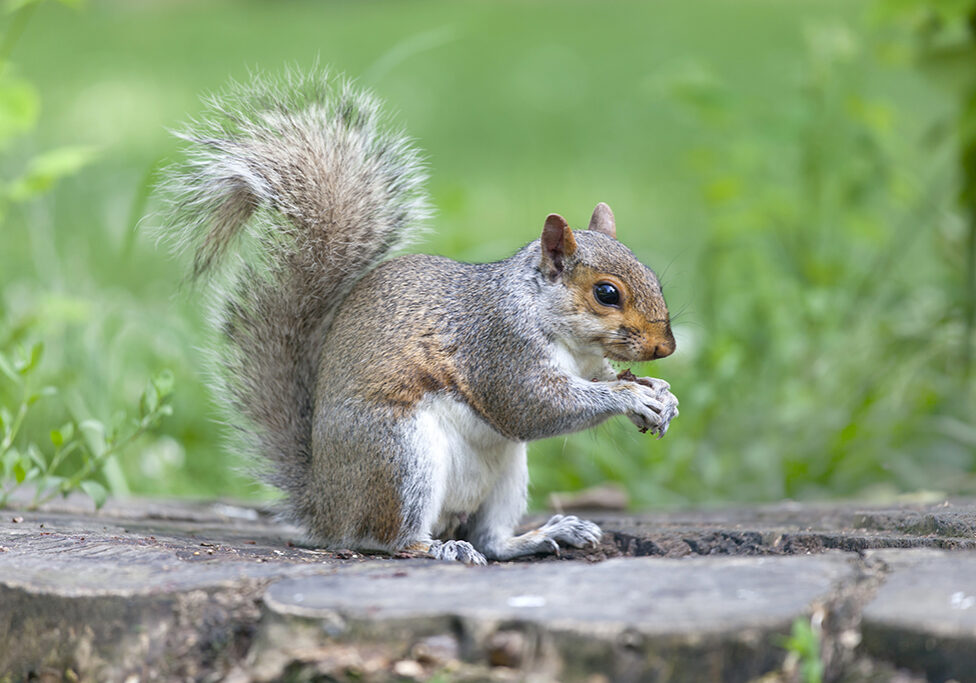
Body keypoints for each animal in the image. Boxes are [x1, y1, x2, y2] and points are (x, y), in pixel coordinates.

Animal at [162, 71, 680, 568]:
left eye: (653, 276)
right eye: (607, 293)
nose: (666, 348)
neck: (563, 332)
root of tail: (326, 507)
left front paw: (661, 394)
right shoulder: (499, 348)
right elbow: (534, 406)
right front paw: (630, 396)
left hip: (507, 472)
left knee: (492, 540)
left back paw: (543, 535)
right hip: (399, 456)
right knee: (388, 539)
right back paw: (438, 548)